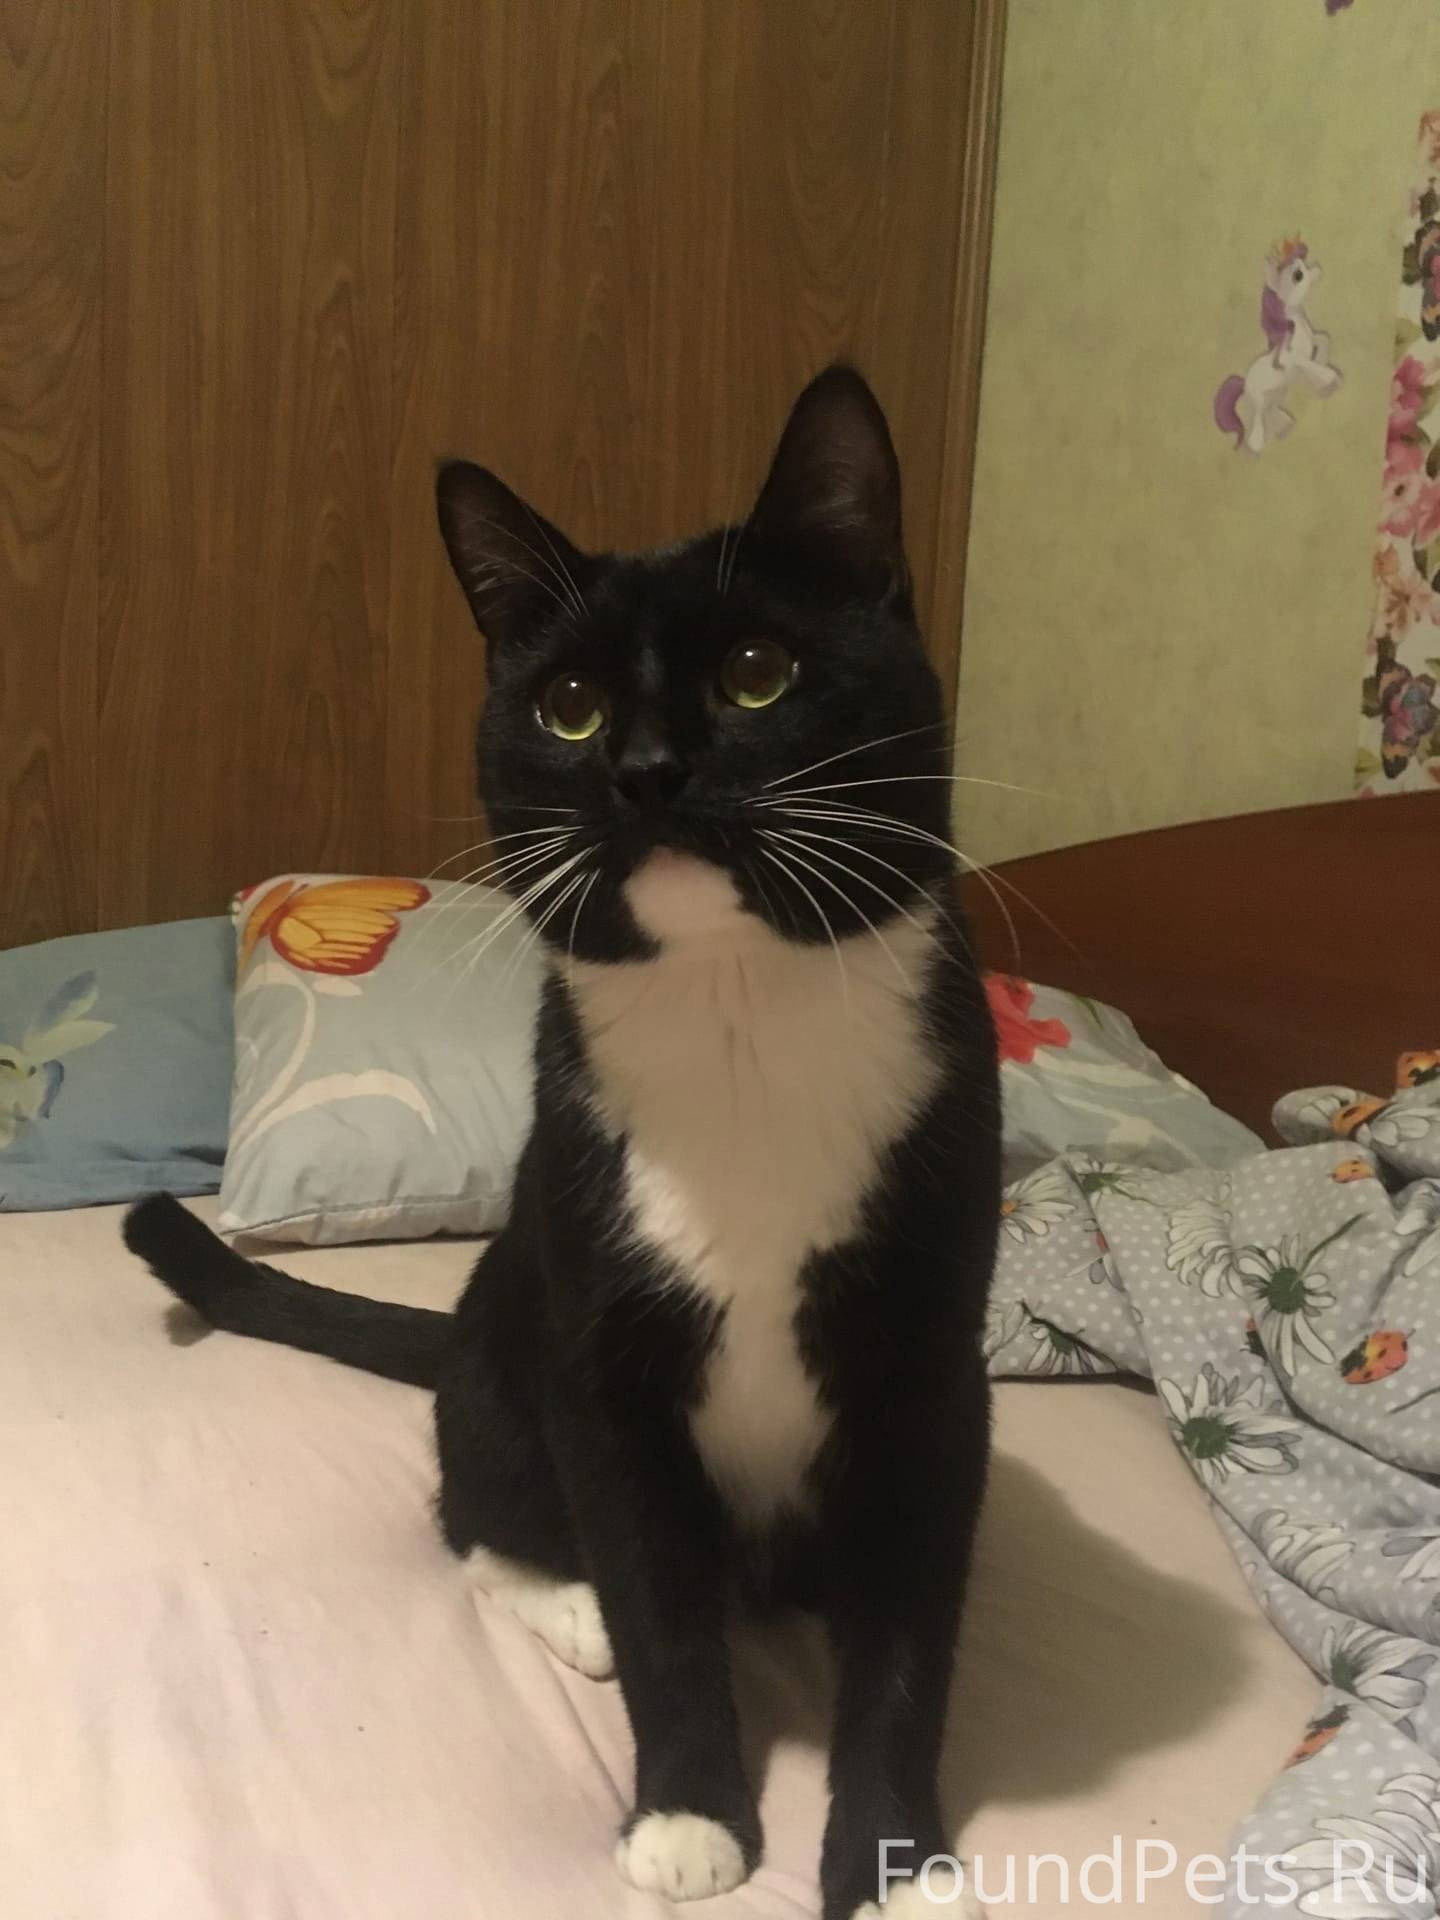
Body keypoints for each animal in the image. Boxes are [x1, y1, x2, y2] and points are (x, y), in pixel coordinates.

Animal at [125, 366, 1000, 1920]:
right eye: (574, 705)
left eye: (759, 672)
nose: (647, 770)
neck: (736, 1025)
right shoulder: (602, 1357)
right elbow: (656, 1607)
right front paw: (689, 1813)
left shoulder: (930, 1373)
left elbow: (907, 1641)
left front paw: (898, 1866)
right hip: (506, 1319)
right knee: (475, 1507)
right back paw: (569, 1601)